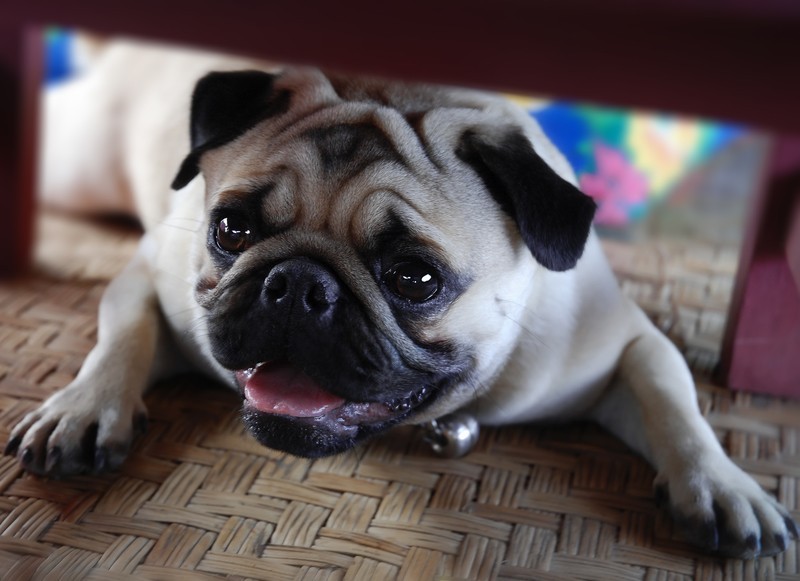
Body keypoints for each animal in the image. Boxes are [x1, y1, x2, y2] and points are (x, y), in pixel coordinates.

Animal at [4, 38, 792, 556]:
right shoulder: (149, 279)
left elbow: (674, 401)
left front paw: (719, 483)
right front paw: (85, 407)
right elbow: (121, 336)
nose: (297, 284)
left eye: (415, 278)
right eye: (231, 229)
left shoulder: (625, 343)